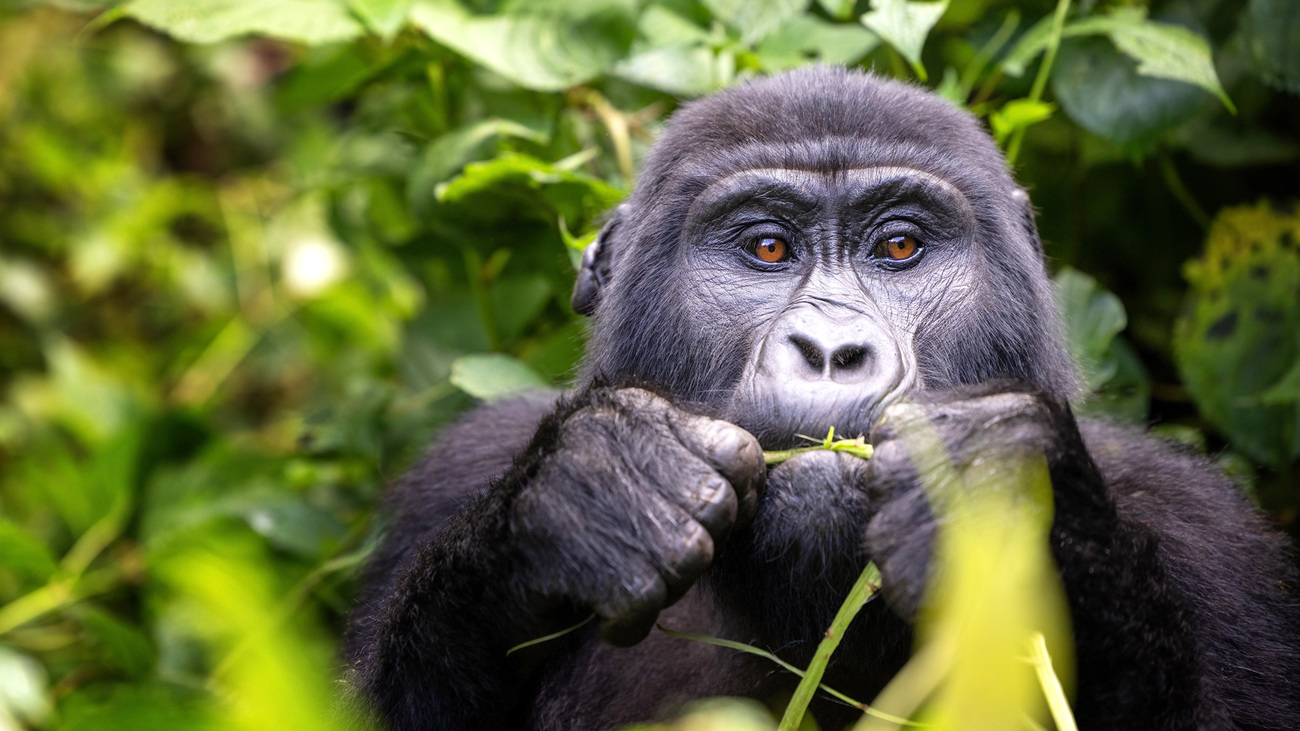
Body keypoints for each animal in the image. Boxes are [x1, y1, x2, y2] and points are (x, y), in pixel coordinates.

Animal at [345, 69, 1300, 728]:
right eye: (767, 247)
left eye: (901, 246)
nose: (833, 351)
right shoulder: (459, 469)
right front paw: (584, 494)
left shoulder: (1207, 525)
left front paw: (1009, 493)